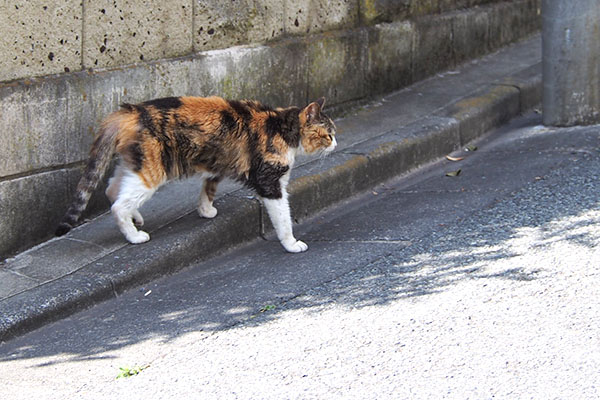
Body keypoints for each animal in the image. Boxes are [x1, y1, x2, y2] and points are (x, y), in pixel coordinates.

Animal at [55, 96, 338, 252]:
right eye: (328, 134)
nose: (336, 144)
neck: (280, 126)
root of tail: (129, 112)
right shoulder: (271, 183)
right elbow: (283, 218)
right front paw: (291, 244)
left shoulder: (216, 162)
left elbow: (208, 187)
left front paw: (205, 210)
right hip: (151, 172)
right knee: (118, 205)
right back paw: (134, 236)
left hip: (133, 163)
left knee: (112, 189)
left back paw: (136, 218)